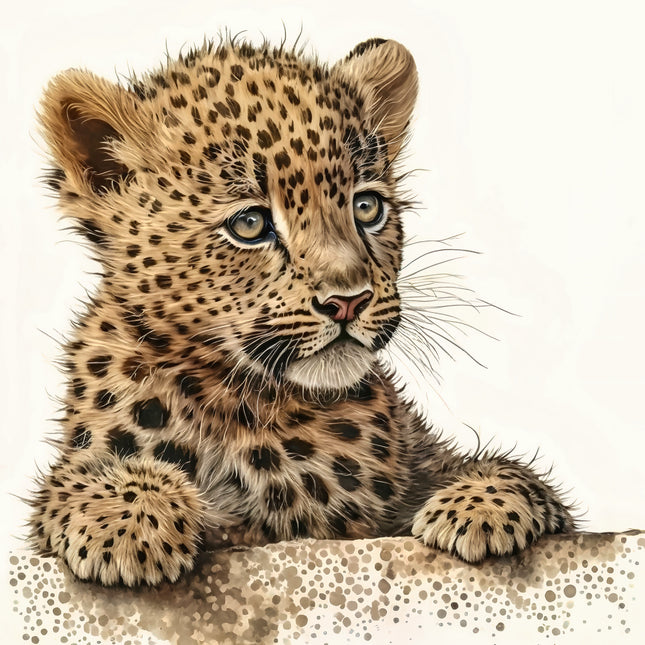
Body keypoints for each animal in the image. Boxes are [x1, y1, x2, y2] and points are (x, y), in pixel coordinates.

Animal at [28, 35, 576, 587]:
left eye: (366, 207)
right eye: (250, 224)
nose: (349, 300)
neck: (242, 411)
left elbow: (519, 481)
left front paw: (480, 507)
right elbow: (71, 481)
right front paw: (127, 519)